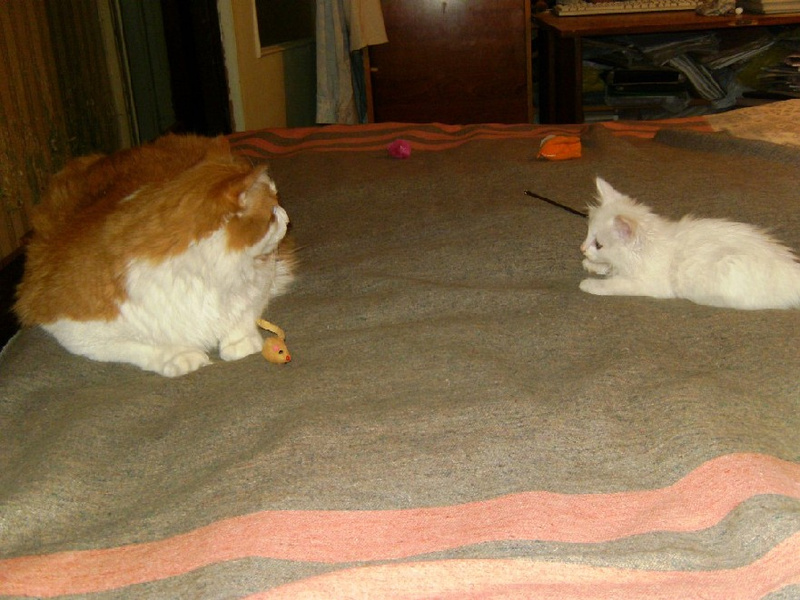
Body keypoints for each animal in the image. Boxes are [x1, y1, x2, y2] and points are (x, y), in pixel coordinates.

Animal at [14, 134, 295, 376]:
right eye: (272, 209)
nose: (286, 216)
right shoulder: (73, 324)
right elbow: (137, 346)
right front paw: (179, 356)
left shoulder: (262, 275)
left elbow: (245, 310)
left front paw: (240, 341)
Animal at [579, 176, 800, 310]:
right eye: (588, 235)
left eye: (598, 244)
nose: (581, 249)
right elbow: (608, 268)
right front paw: (591, 265)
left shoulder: (644, 283)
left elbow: (613, 284)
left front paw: (589, 283)